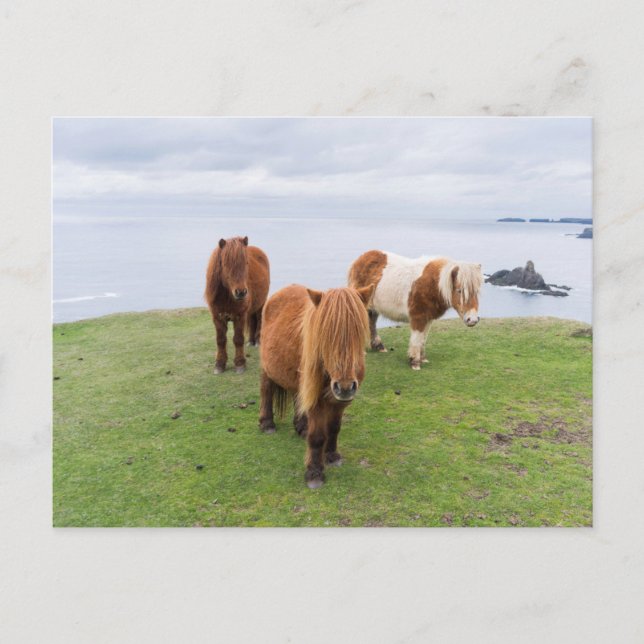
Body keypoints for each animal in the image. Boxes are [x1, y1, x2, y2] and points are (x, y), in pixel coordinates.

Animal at [204, 236, 270, 374]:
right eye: (225, 264)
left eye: (246, 263)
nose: (241, 292)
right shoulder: (217, 318)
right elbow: (221, 340)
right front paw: (219, 364)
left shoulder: (239, 316)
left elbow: (238, 339)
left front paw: (240, 364)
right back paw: (251, 341)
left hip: (261, 304)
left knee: (259, 319)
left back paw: (257, 341)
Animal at [258, 283, 374, 488]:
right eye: (325, 336)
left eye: (358, 333)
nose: (345, 387)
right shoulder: (318, 402)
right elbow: (318, 436)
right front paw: (314, 473)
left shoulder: (340, 402)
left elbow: (334, 427)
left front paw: (332, 456)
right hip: (267, 369)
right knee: (266, 391)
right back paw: (267, 423)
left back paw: (301, 427)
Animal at [348, 250, 483, 370]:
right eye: (459, 290)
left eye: (476, 291)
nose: (472, 320)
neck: (433, 284)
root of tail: (360, 259)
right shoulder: (418, 317)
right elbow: (417, 338)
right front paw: (415, 362)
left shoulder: (428, 318)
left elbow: (423, 338)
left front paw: (422, 358)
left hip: (373, 308)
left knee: (371, 322)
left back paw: (379, 346)